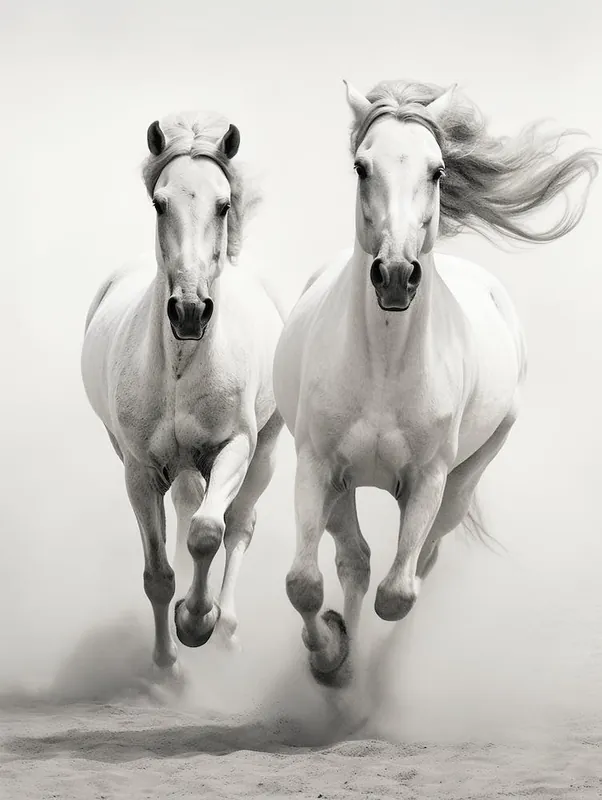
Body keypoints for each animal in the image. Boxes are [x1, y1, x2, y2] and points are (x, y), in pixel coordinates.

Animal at [81, 111, 284, 676]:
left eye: (223, 204)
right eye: (159, 202)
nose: (190, 311)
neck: (179, 366)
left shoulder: (235, 447)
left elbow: (207, 533)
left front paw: (197, 622)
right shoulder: (139, 470)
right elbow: (158, 573)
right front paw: (166, 662)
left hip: (265, 450)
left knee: (237, 525)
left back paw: (228, 628)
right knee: (189, 510)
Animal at [273, 79, 599, 689]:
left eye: (437, 169)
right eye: (361, 166)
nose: (396, 275)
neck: (383, 369)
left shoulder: (427, 479)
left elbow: (399, 593)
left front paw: (351, 655)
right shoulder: (319, 467)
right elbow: (305, 582)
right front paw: (329, 654)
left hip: (464, 480)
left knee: (421, 560)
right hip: (343, 485)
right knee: (354, 560)